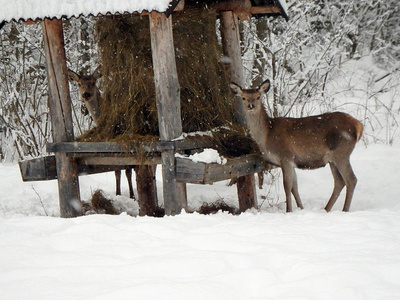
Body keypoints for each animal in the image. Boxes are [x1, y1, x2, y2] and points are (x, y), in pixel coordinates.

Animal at [66, 68, 134, 199]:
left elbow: (128, 171)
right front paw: (118, 194)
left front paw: (132, 196)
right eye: (79, 83)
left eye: (93, 82)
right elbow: (116, 170)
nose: (86, 94)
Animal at [228, 78, 362, 212]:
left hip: (342, 152)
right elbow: (294, 186)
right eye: (244, 97)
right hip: (332, 159)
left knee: (351, 179)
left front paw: (289, 210)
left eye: (258, 97)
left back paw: (344, 210)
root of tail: (358, 125)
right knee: (339, 181)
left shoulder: (286, 156)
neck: (266, 136)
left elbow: (287, 186)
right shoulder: (292, 161)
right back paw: (326, 209)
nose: (251, 106)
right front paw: (301, 208)